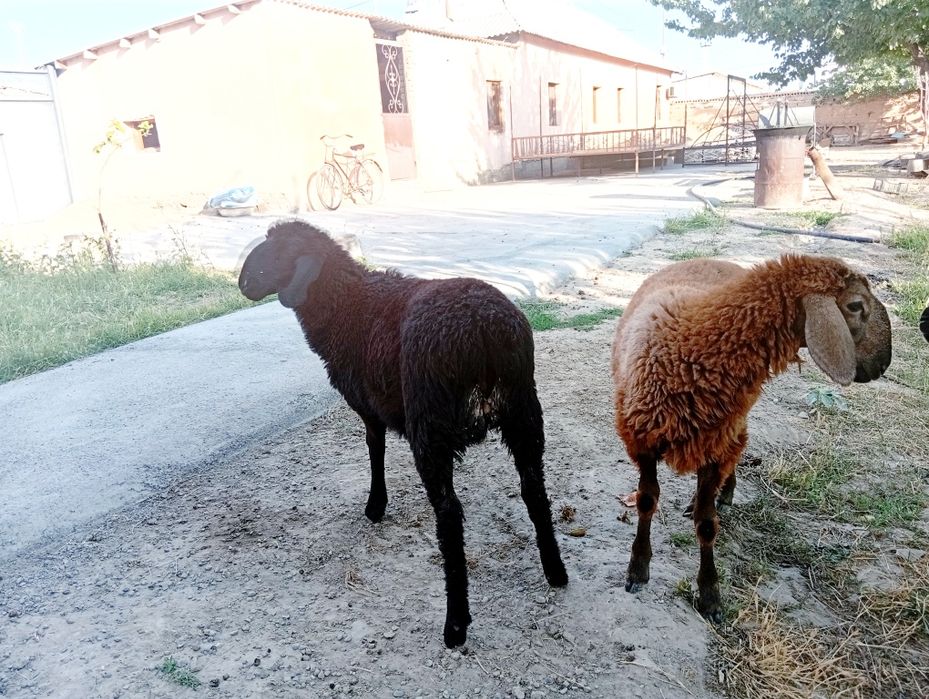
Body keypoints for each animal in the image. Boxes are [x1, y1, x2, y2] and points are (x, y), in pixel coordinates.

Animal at [238, 220, 567, 647]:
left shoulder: (369, 409)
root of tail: (485, 332)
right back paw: (555, 571)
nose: (243, 282)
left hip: (431, 426)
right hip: (525, 412)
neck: (348, 304)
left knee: (450, 514)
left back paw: (455, 624)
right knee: (535, 491)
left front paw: (375, 506)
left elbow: (373, 451)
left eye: (280, 252)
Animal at [611, 254, 891, 621]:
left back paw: (722, 493)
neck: (696, 340)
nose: (883, 364)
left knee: (738, 452)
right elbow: (646, 501)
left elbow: (706, 525)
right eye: (856, 305)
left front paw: (710, 595)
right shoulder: (641, 438)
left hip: (733, 422)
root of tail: (709, 258)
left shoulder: (716, 444)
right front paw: (638, 569)